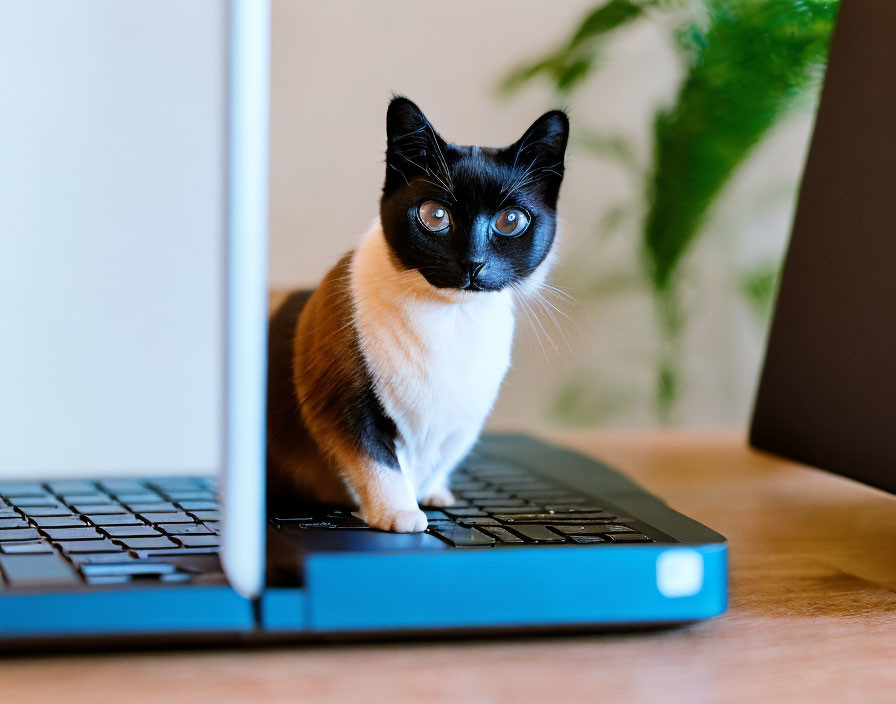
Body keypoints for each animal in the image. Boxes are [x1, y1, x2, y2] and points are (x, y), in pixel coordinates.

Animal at [266, 96, 572, 532]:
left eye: (511, 220)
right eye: (435, 216)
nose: (473, 262)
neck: (450, 320)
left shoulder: (465, 419)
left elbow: (442, 455)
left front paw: (434, 492)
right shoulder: (340, 402)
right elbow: (376, 461)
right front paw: (400, 513)